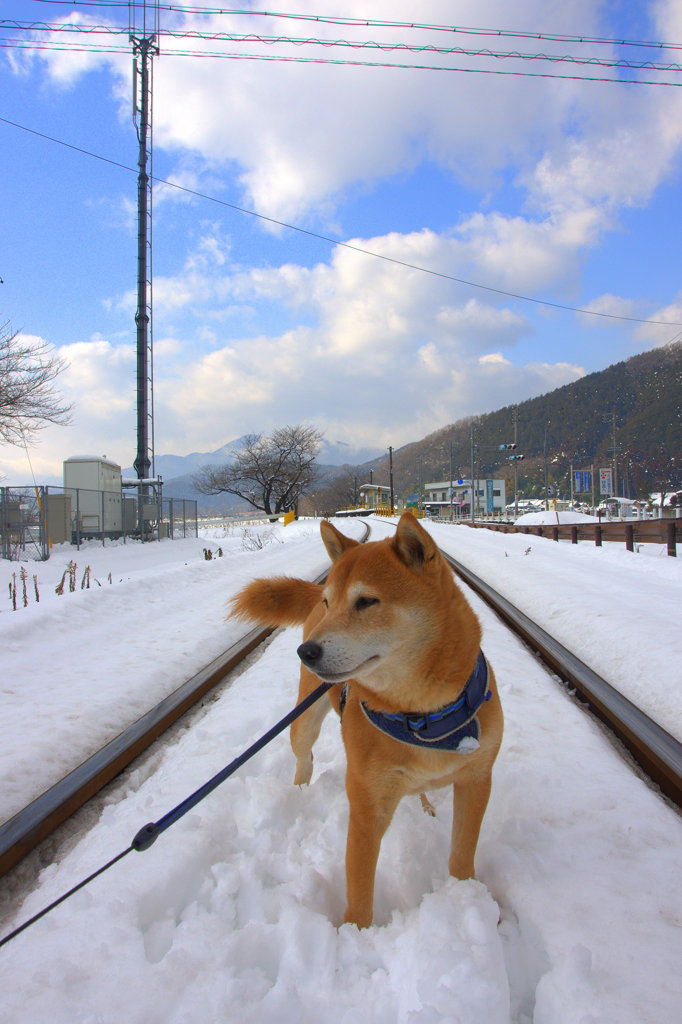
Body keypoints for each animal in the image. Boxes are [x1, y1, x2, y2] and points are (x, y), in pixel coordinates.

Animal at [231, 516, 501, 925]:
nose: (306, 651)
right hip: (304, 722)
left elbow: (461, 852)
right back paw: (299, 791)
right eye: (332, 602)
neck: (422, 715)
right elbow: (359, 888)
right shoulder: (366, 808)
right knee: (304, 758)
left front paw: (467, 895)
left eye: (367, 601)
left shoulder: (476, 780)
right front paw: (356, 933)